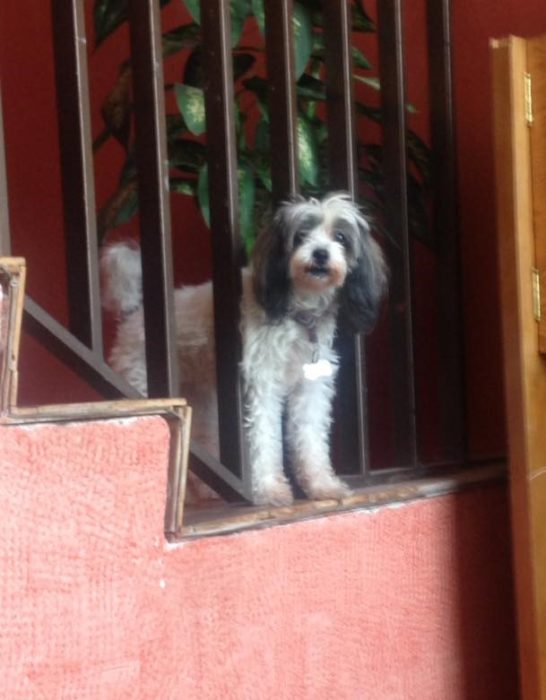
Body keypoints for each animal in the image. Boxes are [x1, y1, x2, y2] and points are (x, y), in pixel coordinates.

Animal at [100, 194, 384, 506]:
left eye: (340, 237)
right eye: (301, 235)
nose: (321, 253)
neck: (296, 311)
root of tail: (135, 312)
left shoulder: (310, 388)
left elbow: (310, 438)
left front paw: (322, 485)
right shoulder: (260, 384)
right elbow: (262, 439)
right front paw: (269, 490)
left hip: (204, 403)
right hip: (142, 382)